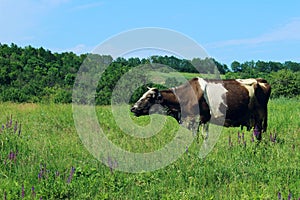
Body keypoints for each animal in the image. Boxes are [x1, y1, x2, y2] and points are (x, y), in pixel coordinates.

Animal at [130, 77, 270, 140]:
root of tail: (260, 80)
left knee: (258, 135)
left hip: (259, 117)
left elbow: (203, 136)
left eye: (149, 97)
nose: (133, 108)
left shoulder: (202, 119)